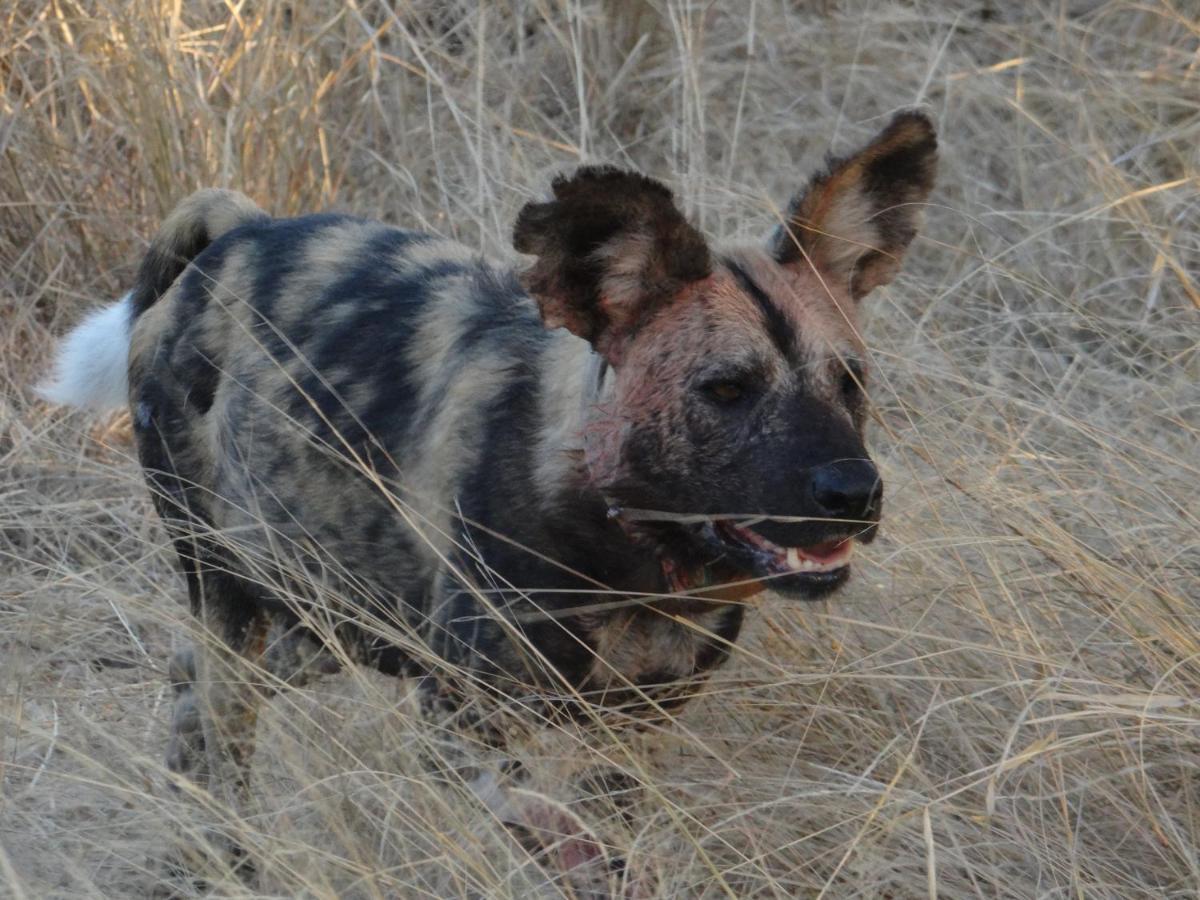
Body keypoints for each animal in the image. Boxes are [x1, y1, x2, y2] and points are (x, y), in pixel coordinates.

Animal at [42, 114, 936, 854]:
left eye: (850, 382)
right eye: (726, 390)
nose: (853, 493)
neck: (632, 555)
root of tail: (244, 230)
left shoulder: (633, 732)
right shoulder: (466, 727)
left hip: (323, 617)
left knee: (190, 686)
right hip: (236, 591)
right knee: (217, 727)